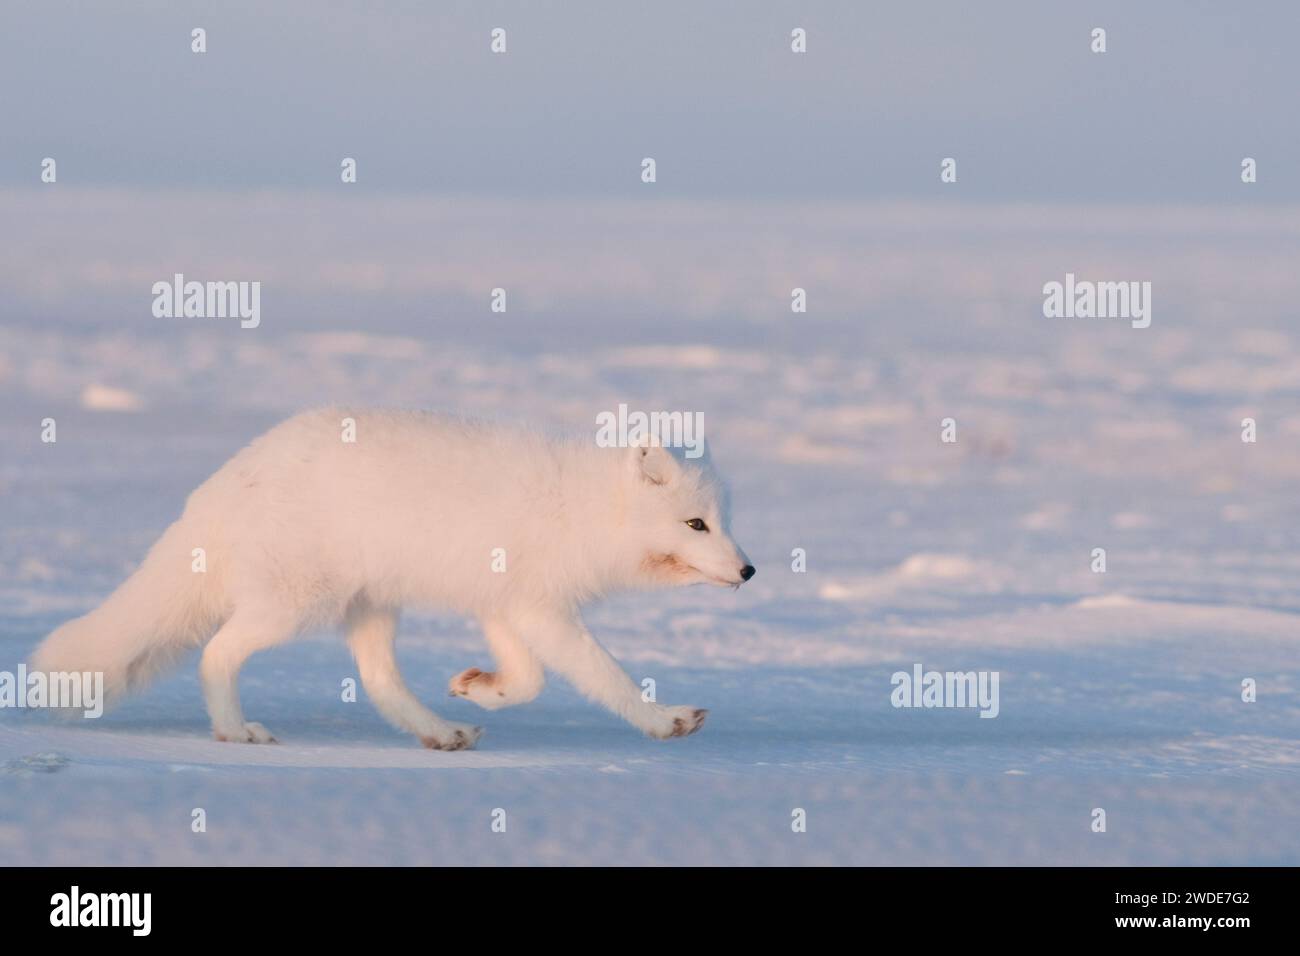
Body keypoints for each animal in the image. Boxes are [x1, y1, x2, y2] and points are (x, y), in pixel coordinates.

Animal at [27, 408, 754, 749]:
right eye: (695, 525)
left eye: (723, 522)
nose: (749, 570)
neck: (581, 511)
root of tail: (223, 483)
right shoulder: (539, 606)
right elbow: (603, 675)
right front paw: (664, 721)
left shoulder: (506, 602)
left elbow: (529, 680)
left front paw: (479, 688)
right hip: (297, 604)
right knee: (217, 654)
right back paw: (235, 730)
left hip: (369, 606)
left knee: (379, 682)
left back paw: (441, 732)